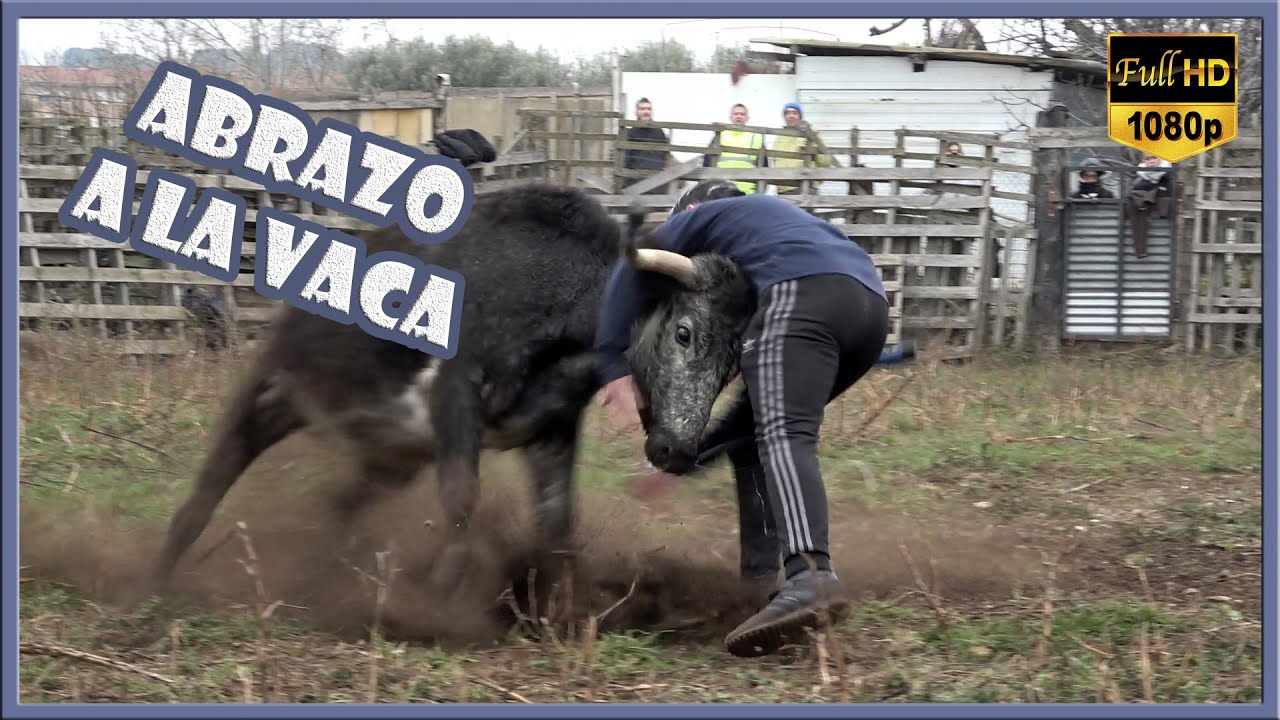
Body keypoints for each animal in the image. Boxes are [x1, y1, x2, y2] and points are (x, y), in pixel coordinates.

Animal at [146, 181, 759, 613]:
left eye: (736, 362)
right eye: (684, 332)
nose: (676, 451)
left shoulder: (551, 430)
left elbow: (558, 522)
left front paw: (561, 611)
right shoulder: (456, 397)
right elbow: (463, 498)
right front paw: (435, 594)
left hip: (392, 455)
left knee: (338, 502)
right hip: (277, 391)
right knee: (214, 479)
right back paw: (155, 575)